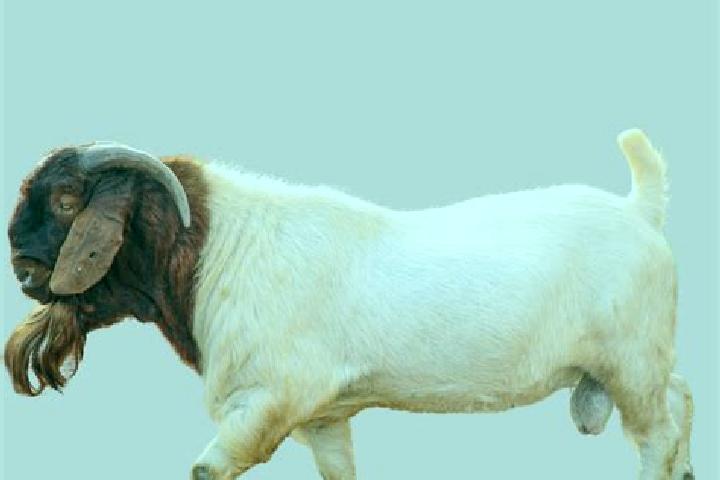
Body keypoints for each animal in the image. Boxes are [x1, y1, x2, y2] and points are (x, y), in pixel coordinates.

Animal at [5, 130, 694, 480]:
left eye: (67, 200)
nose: (22, 268)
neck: (218, 250)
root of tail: (639, 209)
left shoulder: (268, 398)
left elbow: (207, 470)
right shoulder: (323, 415)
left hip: (630, 362)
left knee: (656, 434)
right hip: (639, 362)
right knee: (682, 399)